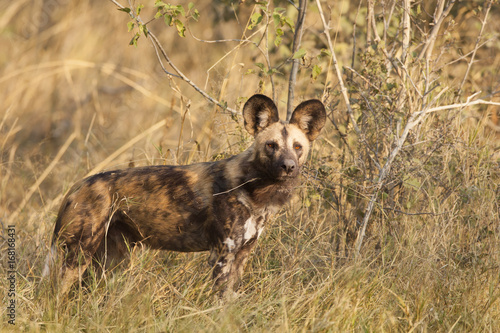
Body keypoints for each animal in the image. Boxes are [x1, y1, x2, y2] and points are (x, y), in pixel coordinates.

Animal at [46, 94, 328, 298]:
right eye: (271, 145)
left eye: (297, 147)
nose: (288, 166)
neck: (256, 191)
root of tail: (79, 185)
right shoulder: (222, 256)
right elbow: (220, 303)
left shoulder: (242, 255)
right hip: (79, 254)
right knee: (57, 294)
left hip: (113, 260)